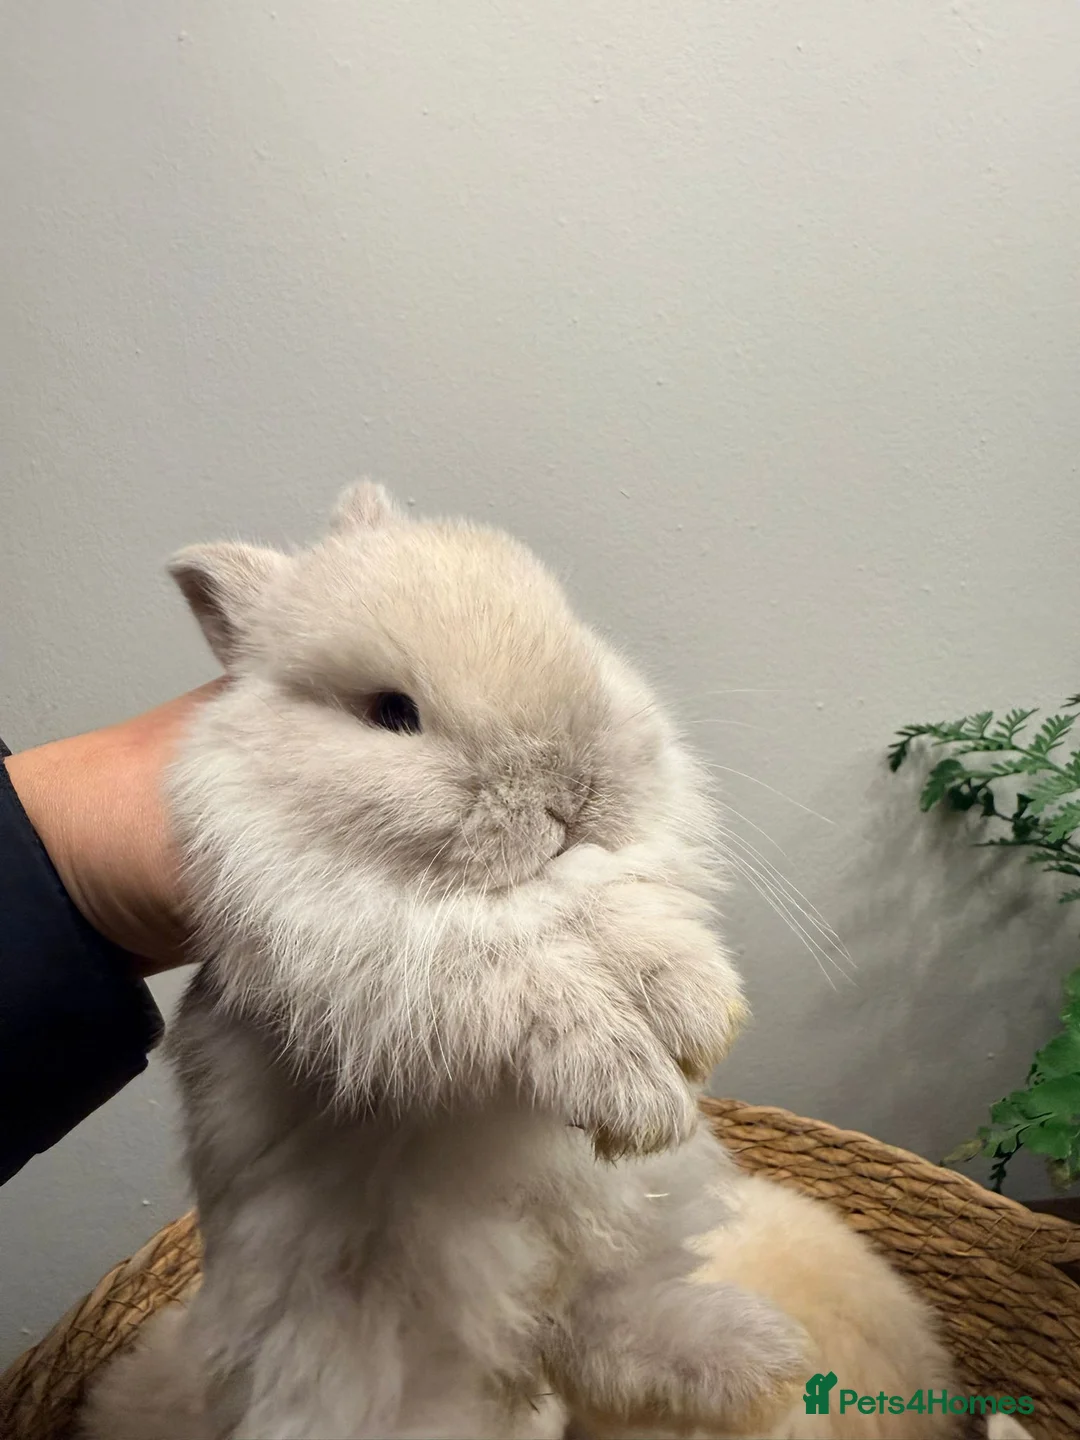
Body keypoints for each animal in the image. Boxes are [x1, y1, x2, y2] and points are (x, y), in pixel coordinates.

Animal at [81, 482, 808, 1440]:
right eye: (391, 712)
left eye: (571, 628)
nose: (569, 788)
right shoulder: (360, 960)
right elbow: (510, 969)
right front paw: (638, 1095)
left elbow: (618, 906)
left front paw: (697, 1011)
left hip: (630, 1231)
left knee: (600, 1329)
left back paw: (756, 1357)